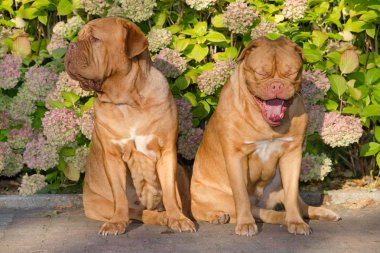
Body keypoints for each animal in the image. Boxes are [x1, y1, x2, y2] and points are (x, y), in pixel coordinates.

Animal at [65, 17, 194, 235]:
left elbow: (170, 192)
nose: (70, 46)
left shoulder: (167, 151)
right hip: (98, 205)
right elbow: (119, 194)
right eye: (79, 37)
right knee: (137, 212)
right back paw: (160, 217)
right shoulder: (113, 156)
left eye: (94, 38)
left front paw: (178, 218)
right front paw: (116, 222)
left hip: (181, 171)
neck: (127, 101)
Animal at [191, 36, 340, 236]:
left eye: (291, 73)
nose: (276, 84)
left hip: (278, 184)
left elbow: (292, 196)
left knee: (294, 204)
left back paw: (315, 213)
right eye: (261, 73)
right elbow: (242, 197)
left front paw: (296, 222)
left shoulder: (292, 155)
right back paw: (219, 216)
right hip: (215, 196)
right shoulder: (236, 156)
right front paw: (246, 224)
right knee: (253, 210)